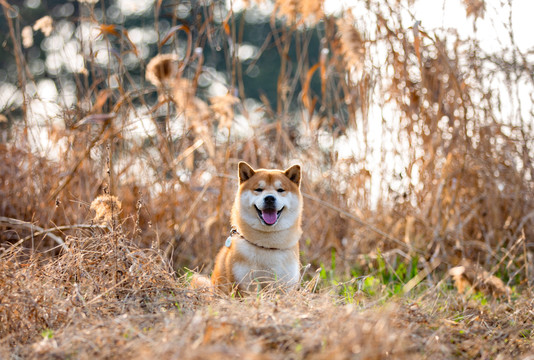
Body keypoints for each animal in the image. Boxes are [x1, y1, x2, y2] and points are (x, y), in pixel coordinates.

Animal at [193, 162, 304, 294]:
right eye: (258, 189)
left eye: (280, 190)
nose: (270, 198)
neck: (266, 246)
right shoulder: (241, 283)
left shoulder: (285, 284)